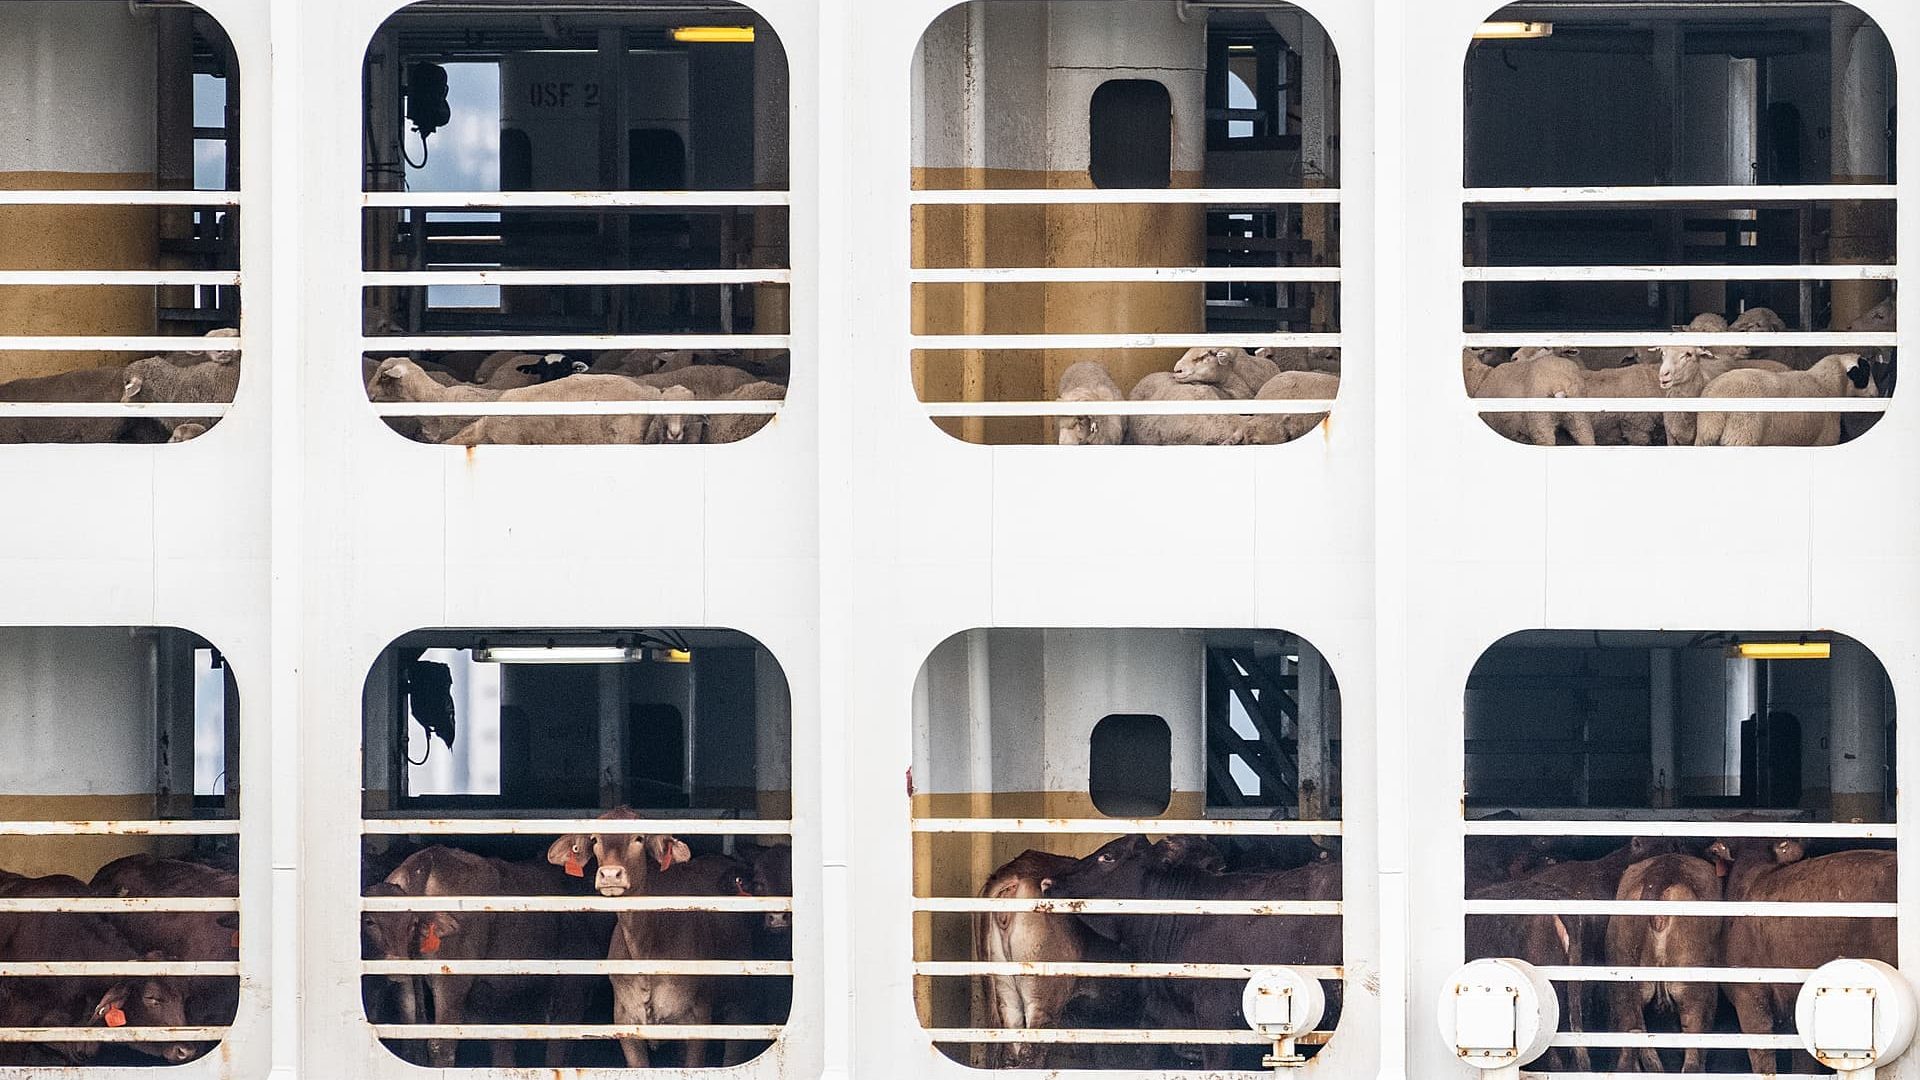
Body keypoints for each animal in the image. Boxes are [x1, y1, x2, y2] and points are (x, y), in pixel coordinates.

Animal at [549, 803, 756, 1060]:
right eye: (595, 839)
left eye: (639, 838)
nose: (610, 875)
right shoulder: (625, 1021)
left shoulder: (697, 1021)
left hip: (740, 1003)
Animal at [1697, 353, 1873, 445]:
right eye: (1865, 372)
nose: (1875, 393)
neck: (1827, 385)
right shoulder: (1823, 439)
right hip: (1742, 433)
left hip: (1705, 437)